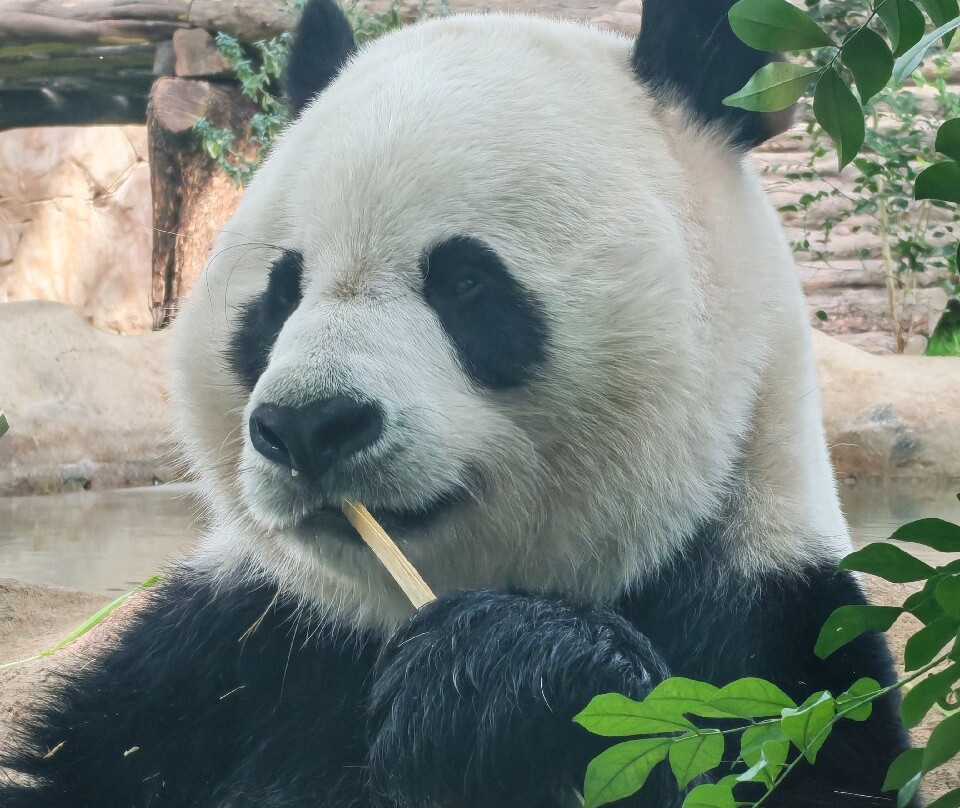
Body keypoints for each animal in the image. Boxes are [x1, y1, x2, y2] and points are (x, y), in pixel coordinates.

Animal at [2, 0, 911, 806]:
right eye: (280, 294)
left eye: (466, 282)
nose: (307, 425)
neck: (404, 608)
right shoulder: (228, 652)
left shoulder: (773, 635)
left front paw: (504, 687)